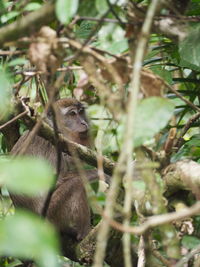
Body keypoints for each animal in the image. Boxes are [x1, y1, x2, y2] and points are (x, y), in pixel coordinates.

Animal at [9, 98, 92, 241]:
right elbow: (55, 179)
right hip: (51, 212)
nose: (84, 123)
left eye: (81, 112)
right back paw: (83, 234)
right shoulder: (52, 142)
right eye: (72, 114)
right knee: (77, 184)